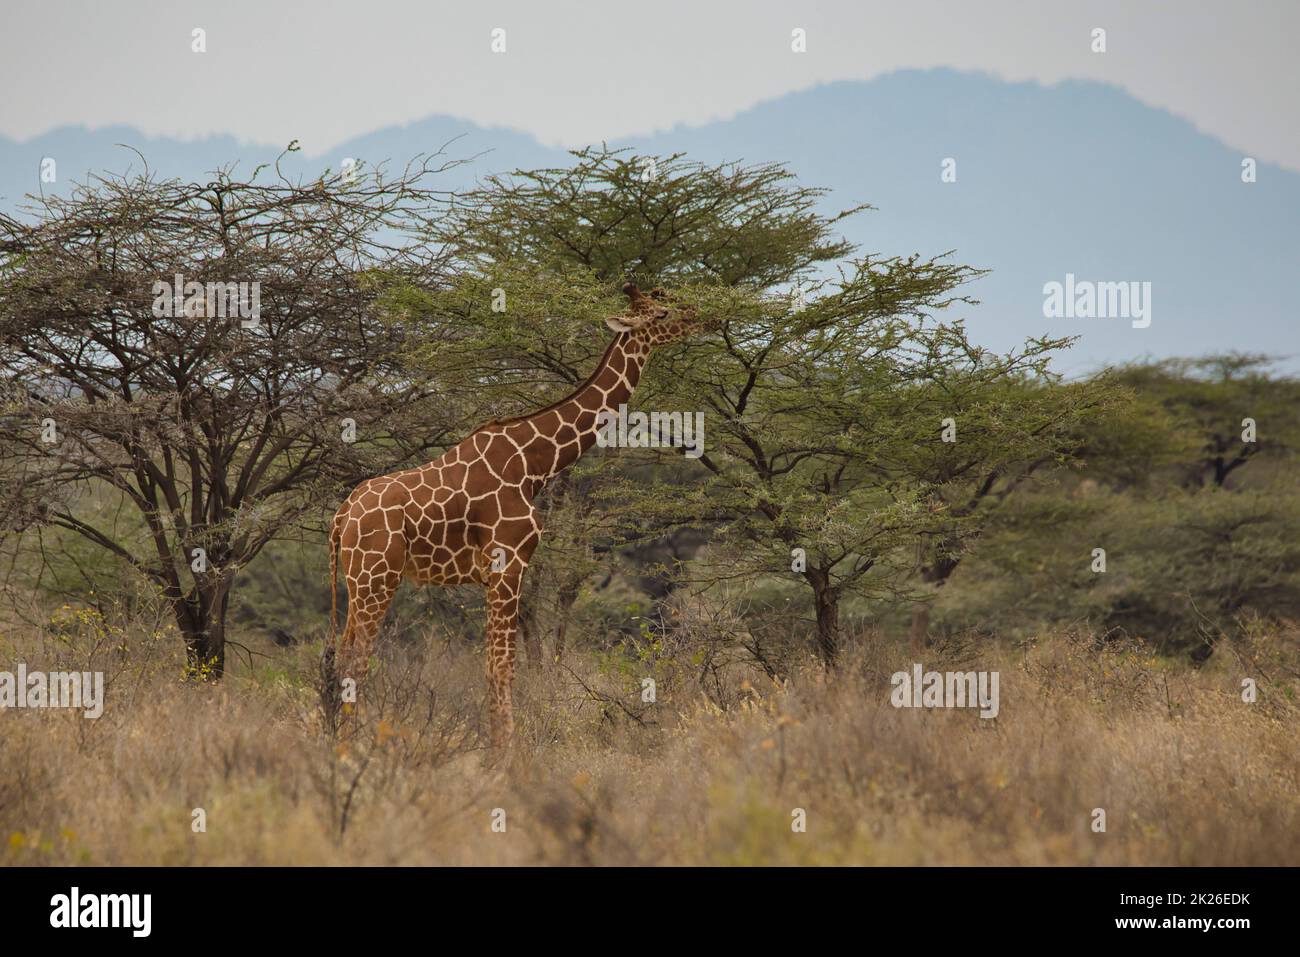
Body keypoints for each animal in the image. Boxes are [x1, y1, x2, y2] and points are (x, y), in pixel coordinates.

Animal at [330, 282, 707, 748]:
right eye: (661, 313)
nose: (701, 317)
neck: (533, 462)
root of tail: (342, 516)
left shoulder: (495, 573)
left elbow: (495, 665)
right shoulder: (508, 563)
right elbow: (502, 666)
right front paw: (506, 754)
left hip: (357, 582)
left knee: (340, 657)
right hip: (376, 578)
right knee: (354, 661)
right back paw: (348, 749)